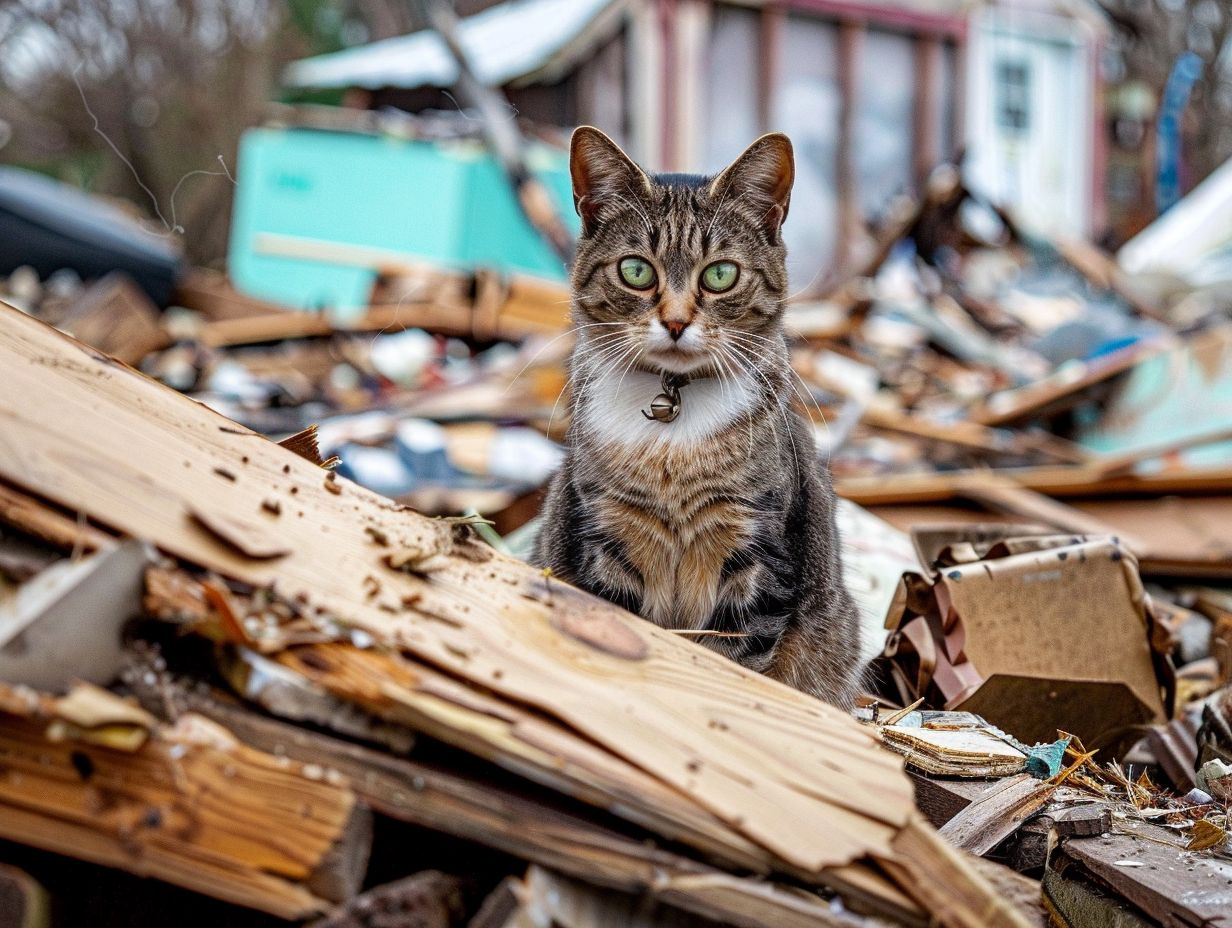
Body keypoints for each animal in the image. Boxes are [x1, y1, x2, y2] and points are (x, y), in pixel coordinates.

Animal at [534, 126, 862, 704]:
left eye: (721, 275)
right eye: (636, 270)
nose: (675, 322)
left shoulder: (756, 546)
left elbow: (729, 661)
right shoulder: (607, 534)